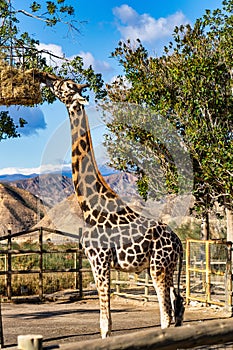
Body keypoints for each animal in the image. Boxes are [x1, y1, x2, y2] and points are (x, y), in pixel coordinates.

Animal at [37, 72, 184, 340]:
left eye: (66, 85)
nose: (47, 77)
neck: (89, 206)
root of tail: (179, 244)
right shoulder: (99, 262)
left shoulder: (99, 261)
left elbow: (105, 324)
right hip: (166, 268)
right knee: (176, 309)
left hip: (158, 267)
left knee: (166, 315)